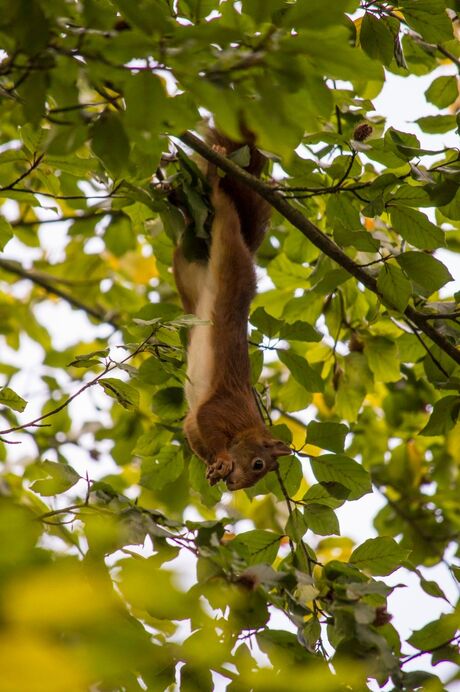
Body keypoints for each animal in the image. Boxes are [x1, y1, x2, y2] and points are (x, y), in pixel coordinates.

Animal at [172, 135, 292, 490]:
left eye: (259, 476)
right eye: (258, 464)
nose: (236, 485)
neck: (246, 426)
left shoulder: (194, 424)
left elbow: (192, 431)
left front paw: (214, 468)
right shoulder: (221, 408)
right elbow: (206, 420)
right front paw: (224, 460)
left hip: (189, 279)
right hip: (232, 251)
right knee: (225, 208)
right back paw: (214, 173)